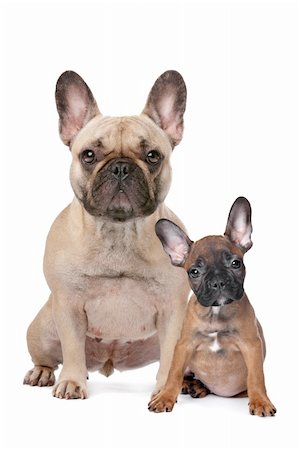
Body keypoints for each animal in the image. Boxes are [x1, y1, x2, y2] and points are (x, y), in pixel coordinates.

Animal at [24, 68, 191, 400]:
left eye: (153, 155)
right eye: (88, 155)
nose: (121, 167)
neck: (119, 231)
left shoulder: (173, 310)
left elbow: (171, 354)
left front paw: (166, 389)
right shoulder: (68, 306)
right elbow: (72, 349)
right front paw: (72, 382)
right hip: (44, 327)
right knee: (47, 356)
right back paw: (42, 372)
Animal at [149, 199, 278, 416]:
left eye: (235, 263)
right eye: (194, 271)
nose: (218, 281)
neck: (216, 312)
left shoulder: (251, 346)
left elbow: (256, 377)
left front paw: (261, 401)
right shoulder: (184, 346)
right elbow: (173, 374)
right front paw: (165, 397)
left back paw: (199, 388)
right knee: (183, 375)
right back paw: (189, 386)